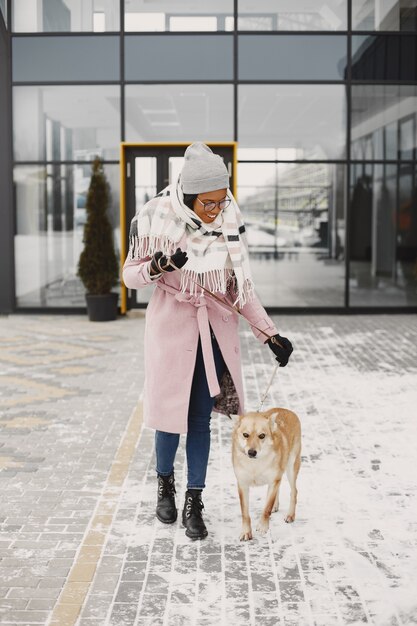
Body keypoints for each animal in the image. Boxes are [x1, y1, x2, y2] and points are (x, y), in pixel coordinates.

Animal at [232, 408, 300, 540]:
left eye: (262, 435)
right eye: (245, 435)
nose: (251, 452)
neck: (255, 465)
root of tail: (287, 410)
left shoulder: (273, 480)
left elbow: (267, 507)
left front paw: (263, 526)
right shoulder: (242, 484)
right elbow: (244, 512)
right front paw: (246, 532)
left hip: (292, 467)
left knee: (294, 491)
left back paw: (290, 515)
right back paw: (276, 506)